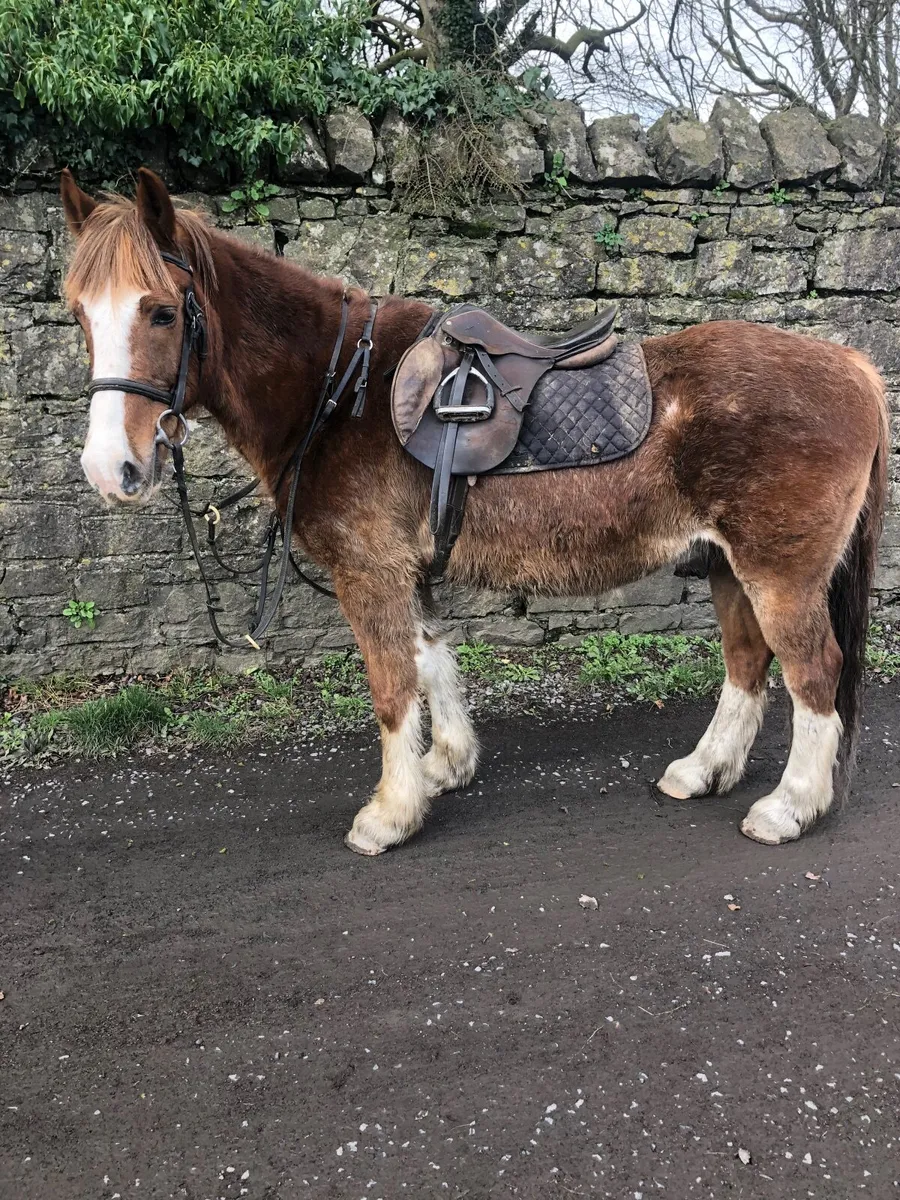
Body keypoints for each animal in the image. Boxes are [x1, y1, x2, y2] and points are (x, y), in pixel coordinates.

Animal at [59, 167, 889, 856]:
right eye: (79, 315)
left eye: (162, 314)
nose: (110, 468)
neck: (339, 390)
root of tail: (853, 367)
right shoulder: (409, 569)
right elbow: (433, 662)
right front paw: (444, 767)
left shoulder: (369, 572)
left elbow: (393, 687)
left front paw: (391, 814)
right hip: (725, 566)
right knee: (747, 663)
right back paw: (704, 769)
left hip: (780, 574)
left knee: (812, 671)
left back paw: (790, 806)